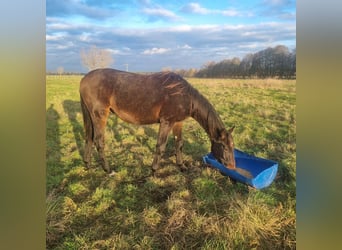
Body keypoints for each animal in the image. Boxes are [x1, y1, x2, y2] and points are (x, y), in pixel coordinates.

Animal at [79, 68, 235, 174]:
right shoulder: (167, 122)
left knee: (89, 138)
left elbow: (179, 144)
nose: (232, 166)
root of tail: (84, 79)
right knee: (99, 141)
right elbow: (160, 146)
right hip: (100, 115)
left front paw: (181, 166)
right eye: (224, 147)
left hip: (91, 116)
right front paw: (154, 171)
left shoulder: (178, 122)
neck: (182, 94)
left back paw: (87, 164)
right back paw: (108, 170)